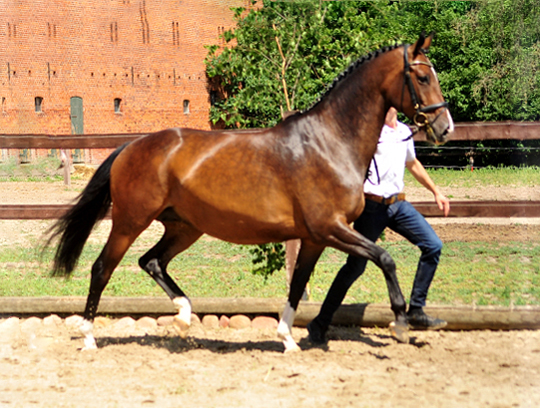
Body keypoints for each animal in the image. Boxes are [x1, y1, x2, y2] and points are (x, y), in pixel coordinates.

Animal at [46, 32, 454, 350]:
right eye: (421, 76)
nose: (444, 126)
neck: (330, 142)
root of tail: (130, 147)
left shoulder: (315, 238)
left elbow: (298, 285)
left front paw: (288, 338)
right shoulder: (330, 228)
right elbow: (385, 258)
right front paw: (400, 323)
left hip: (184, 227)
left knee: (152, 261)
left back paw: (184, 316)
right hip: (131, 221)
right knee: (102, 268)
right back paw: (89, 336)